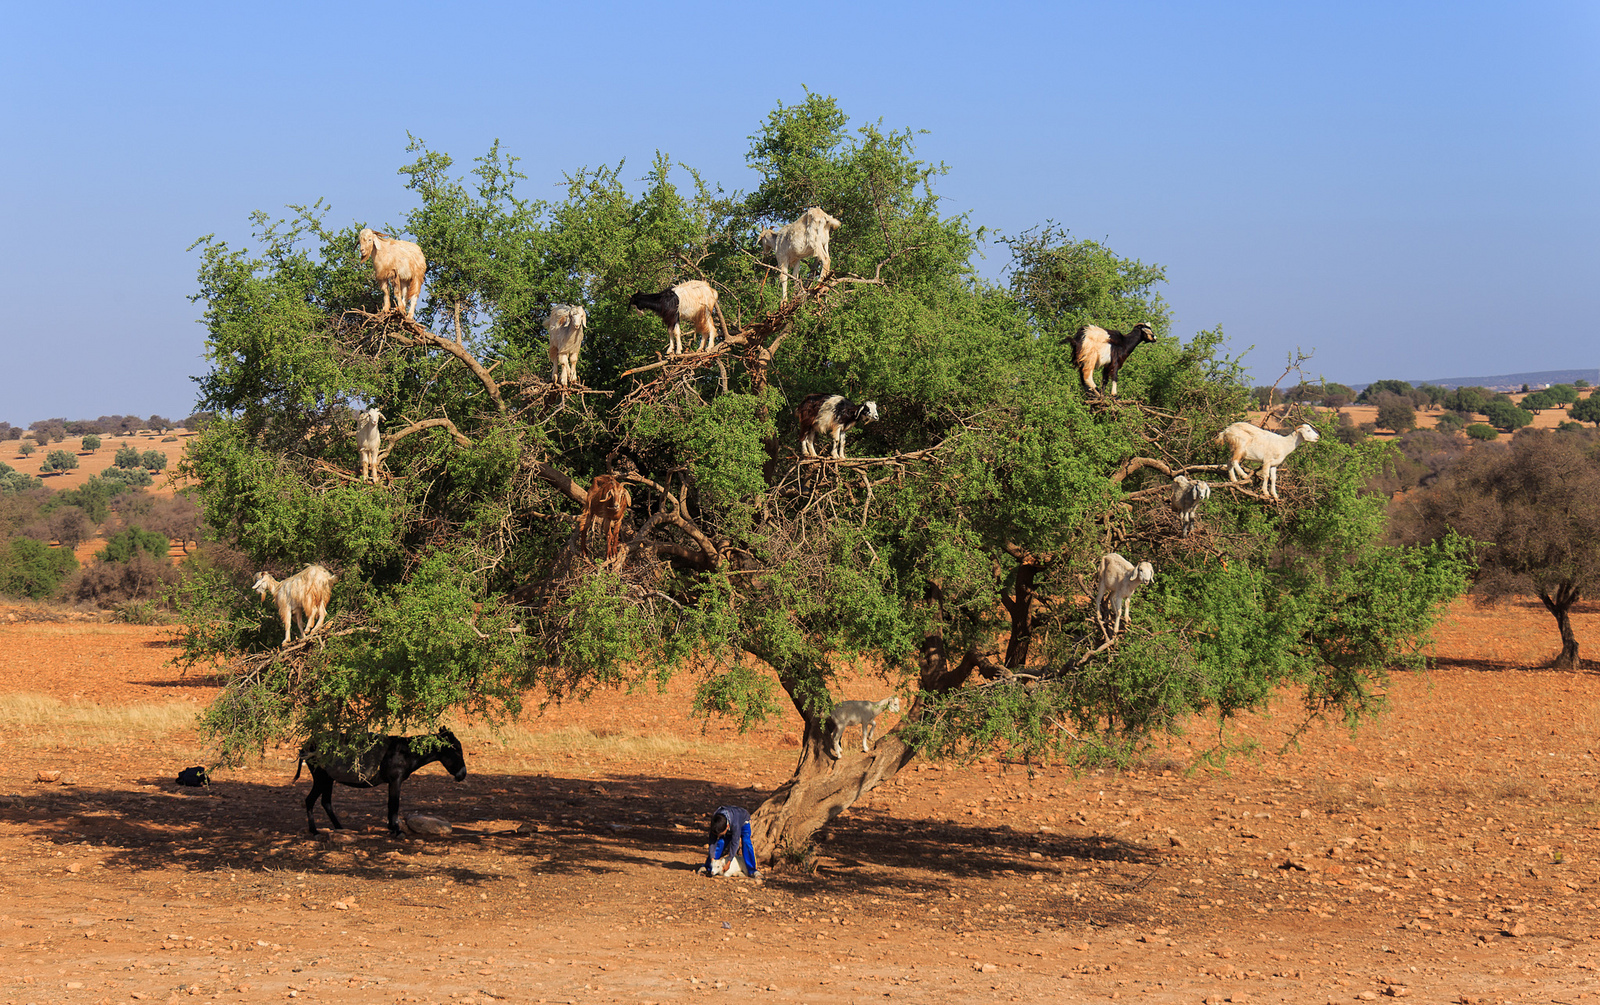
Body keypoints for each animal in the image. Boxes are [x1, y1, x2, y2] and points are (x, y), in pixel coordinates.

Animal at [296, 726, 467, 838]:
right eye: (457, 749)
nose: (463, 775)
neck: (406, 753)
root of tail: (307, 745)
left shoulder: (392, 782)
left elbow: (390, 804)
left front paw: (392, 828)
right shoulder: (396, 780)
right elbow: (394, 804)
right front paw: (397, 831)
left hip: (328, 779)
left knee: (326, 802)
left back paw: (339, 828)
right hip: (321, 778)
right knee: (310, 800)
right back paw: (315, 832)